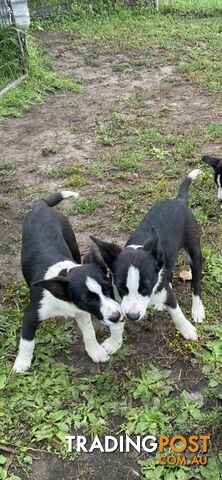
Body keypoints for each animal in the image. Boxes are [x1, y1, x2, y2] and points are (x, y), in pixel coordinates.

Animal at [13, 192, 123, 376]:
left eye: (108, 288)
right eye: (88, 299)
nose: (117, 317)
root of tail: (41, 205)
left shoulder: (82, 313)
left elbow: (89, 332)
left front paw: (95, 351)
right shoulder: (31, 314)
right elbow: (27, 342)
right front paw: (21, 363)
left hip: (71, 240)